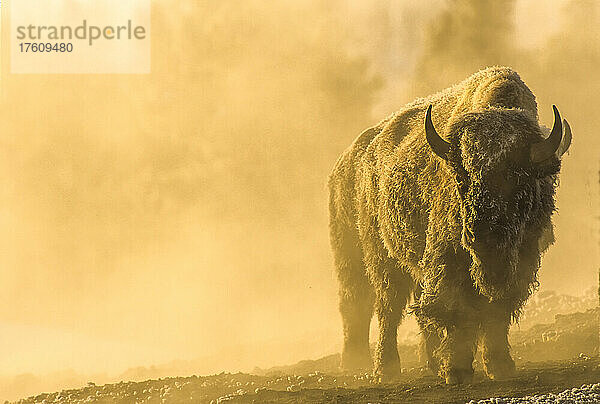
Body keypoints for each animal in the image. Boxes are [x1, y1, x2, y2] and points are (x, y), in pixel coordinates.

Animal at [328, 67, 572, 386]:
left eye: (520, 177)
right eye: (461, 177)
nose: (482, 236)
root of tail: (360, 155)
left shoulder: (523, 258)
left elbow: (498, 308)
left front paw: (499, 365)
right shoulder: (449, 257)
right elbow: (455, 307)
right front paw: (456, 370)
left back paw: (429, 362)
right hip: (373, 257)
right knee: (378, 307)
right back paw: (379, 368)